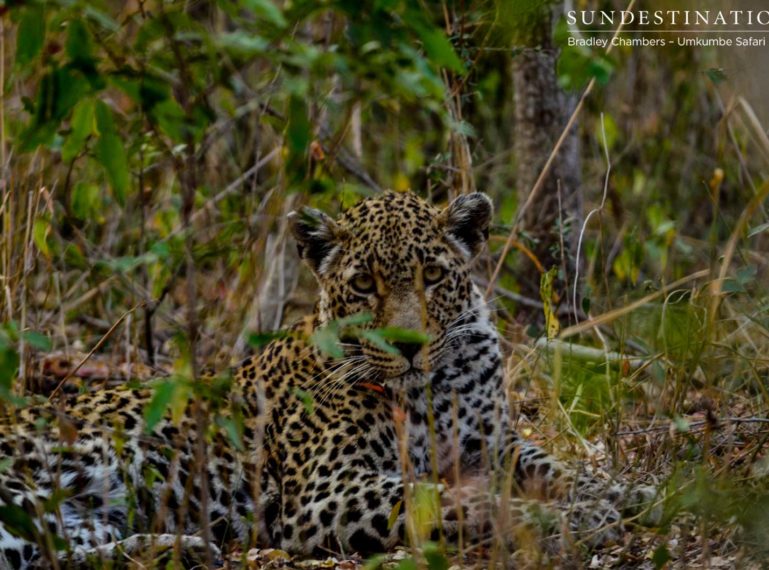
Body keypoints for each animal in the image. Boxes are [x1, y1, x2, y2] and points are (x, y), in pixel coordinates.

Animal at [0, 190, 656, 564]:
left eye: (433, 276)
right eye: (364, 284)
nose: (409, 345)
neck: (435, 387)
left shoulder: (492, 445)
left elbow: (560, 468)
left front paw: (625, 494)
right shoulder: (323, 490)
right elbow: (446, 498)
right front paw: (566, 519)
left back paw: (179, 551)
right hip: (32, 486)